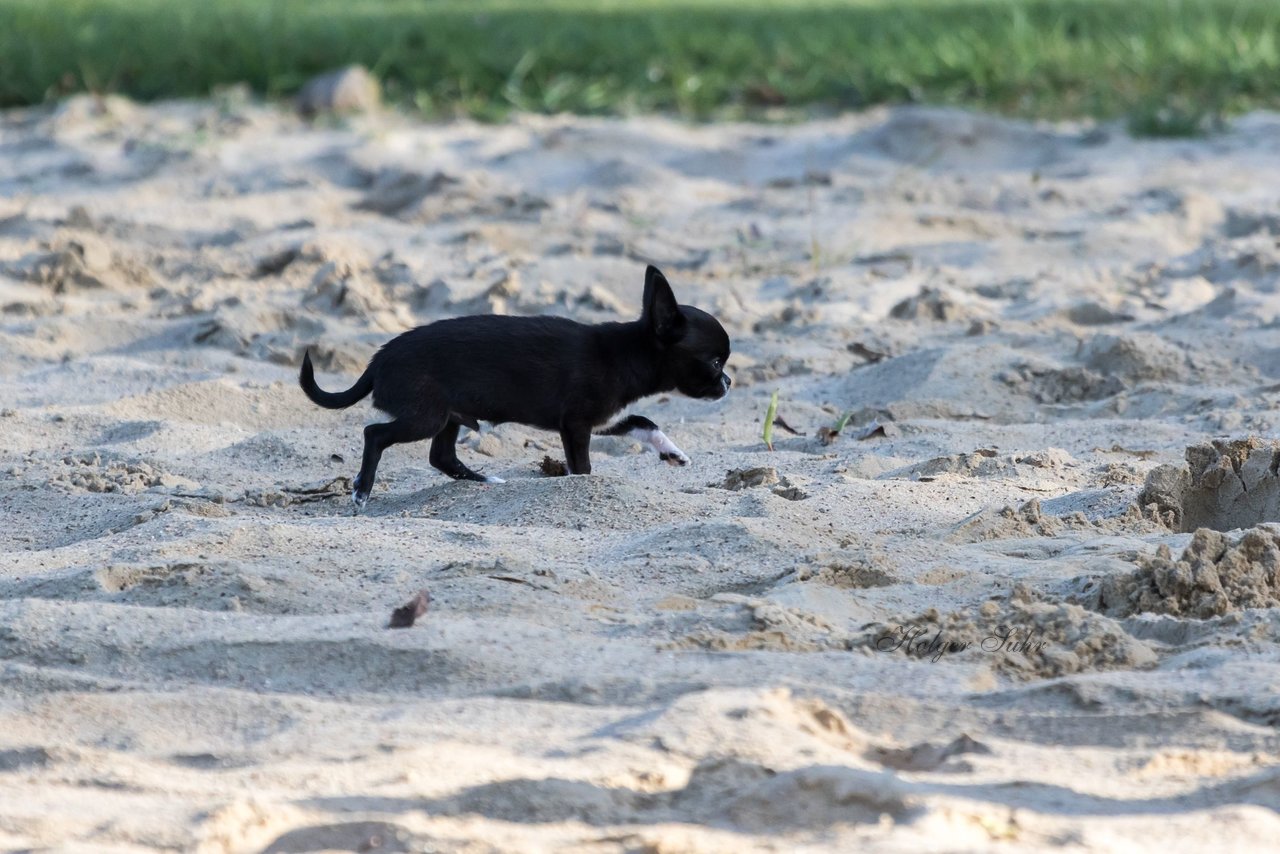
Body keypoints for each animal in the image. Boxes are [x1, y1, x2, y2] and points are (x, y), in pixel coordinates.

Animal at [300, 267, 737, 504]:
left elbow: (645, 421)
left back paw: (484, 481)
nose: (729, 382)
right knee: (375, 433)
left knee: (441, 457)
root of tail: (376, 361)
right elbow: (584, 466)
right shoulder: (576, 426)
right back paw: (362, 489)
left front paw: (672, 452)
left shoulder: (603, 420)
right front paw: (585, 488)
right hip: (425, 416)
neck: (630, 351)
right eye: (715, 362)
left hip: (449, 417)